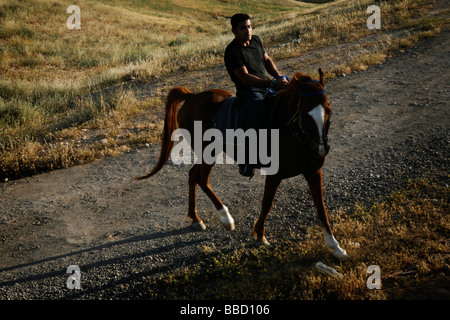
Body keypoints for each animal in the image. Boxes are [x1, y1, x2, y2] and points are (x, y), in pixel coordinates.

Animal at [136, 69, 348, 258]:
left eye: (329, 109)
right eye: (305, 111)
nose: (320, 149)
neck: (293, 133)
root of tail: (191, 96)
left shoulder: (314, 171)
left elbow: (321, 207)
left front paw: (336, 247)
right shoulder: (275, 174)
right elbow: (267, 203)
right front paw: (260, 235)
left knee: (193, 176)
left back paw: (196, 218)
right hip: (207, 152)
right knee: (200, 178)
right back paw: (225, 218)